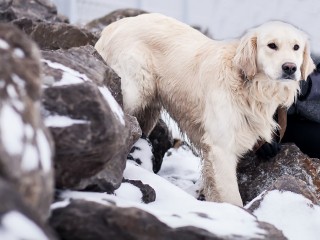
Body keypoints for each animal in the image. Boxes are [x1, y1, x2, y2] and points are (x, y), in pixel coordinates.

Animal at [95, 13, 316, 205]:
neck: (249, 86)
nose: (290, 68)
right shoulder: (221, 148)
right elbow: (231, 197)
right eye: (272, 45)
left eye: (296, 47)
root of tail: (113, 27)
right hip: (136, 91)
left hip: (148, 108)